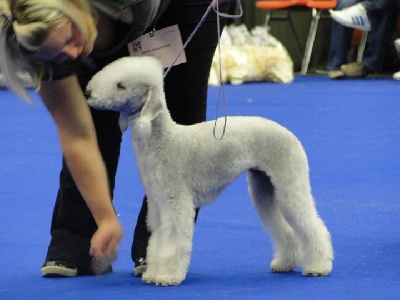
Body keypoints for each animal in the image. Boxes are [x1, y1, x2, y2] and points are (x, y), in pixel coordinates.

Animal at [86, 55, 334, 286]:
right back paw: (285, 263)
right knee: (286, 230)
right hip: (264, 188)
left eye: (120, 85)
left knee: (312, 226)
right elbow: (157, 241)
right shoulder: (157, 204)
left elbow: (173, 240)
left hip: (289, 183)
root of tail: (290, 134)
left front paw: (167, 276)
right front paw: (152, 273)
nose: (88, 93)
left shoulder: (176, 202)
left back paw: (318, 266)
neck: (162, 141)